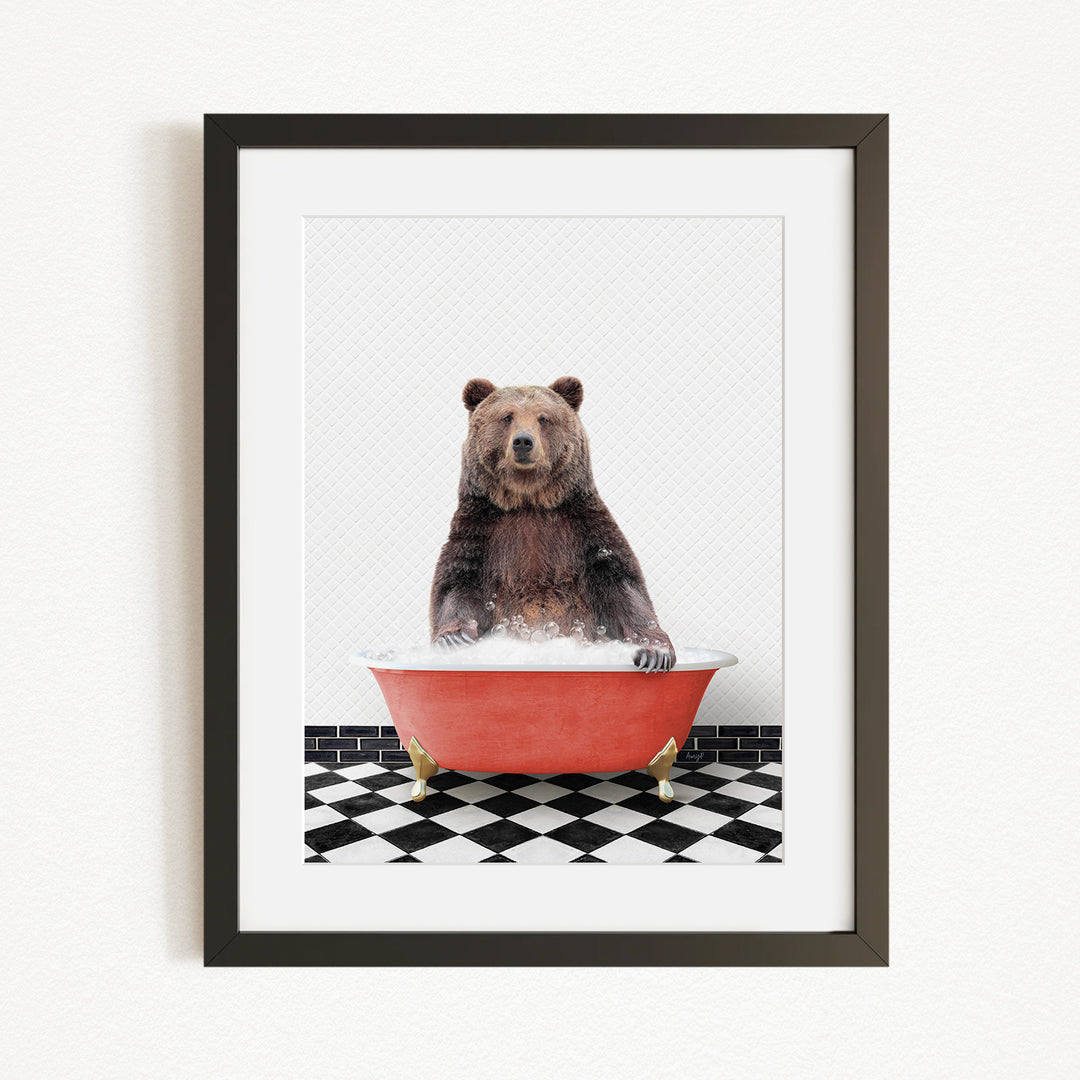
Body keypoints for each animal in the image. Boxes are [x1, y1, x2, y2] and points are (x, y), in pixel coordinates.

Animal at [429, 376, 676, 672]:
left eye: (544, 418)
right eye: (507, 416)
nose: (523, 441)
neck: (529, 500)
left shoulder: (583, 527)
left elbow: (622, 584)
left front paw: (655, 652)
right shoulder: (481, 529)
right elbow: (457, 583)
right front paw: (453, 638)